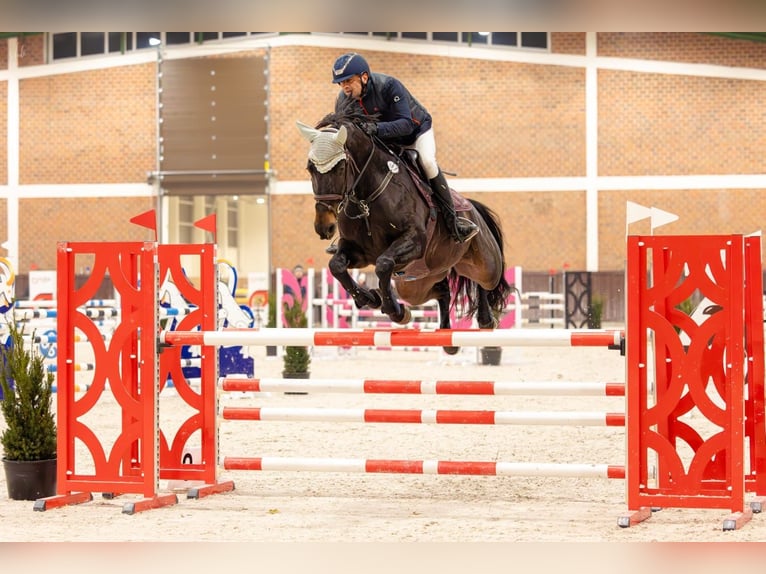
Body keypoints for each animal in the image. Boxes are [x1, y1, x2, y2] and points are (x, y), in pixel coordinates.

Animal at [296, 106, 512, 354]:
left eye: (340, 167)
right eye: (310, 168)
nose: (324, 226)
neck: (367, 198)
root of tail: (471, 207)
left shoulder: (413, 242)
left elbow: (383, 265)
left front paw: (394, 310)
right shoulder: (357, 251)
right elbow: (337, 266)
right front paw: (369, 299)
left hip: (485, 264)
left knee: (484, 283)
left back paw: (486, 320)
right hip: (417, 284)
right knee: (442, 291)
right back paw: (446, 336)